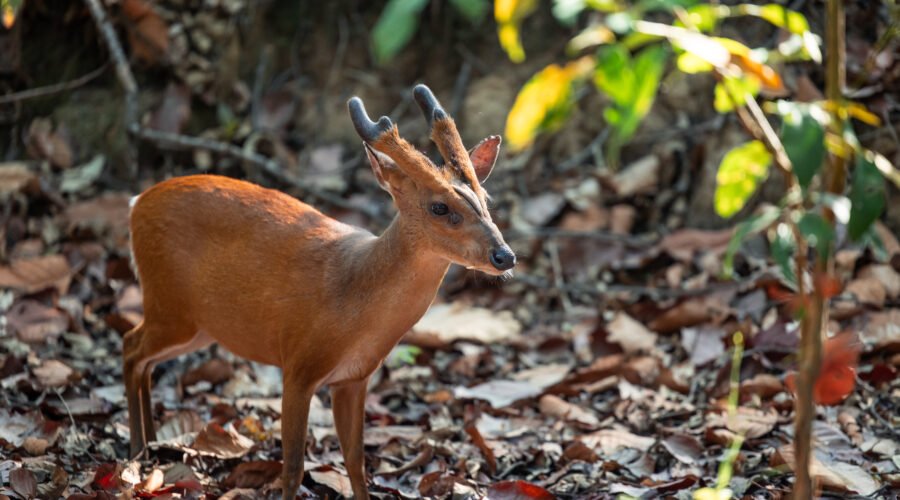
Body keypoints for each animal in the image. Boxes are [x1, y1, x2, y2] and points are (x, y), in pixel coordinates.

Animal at [123, 84, 516, 499]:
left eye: (486, 200)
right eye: (439, 207)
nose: (504, 255)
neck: (354, 297)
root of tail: (135, 205)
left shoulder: (354, 379)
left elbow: (356, 461)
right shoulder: (298, 365)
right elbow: (294, 466)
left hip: (199, 324)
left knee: (145, 359)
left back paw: (151, 445)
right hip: (169, 303)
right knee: (130, 346)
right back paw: (135, 451)